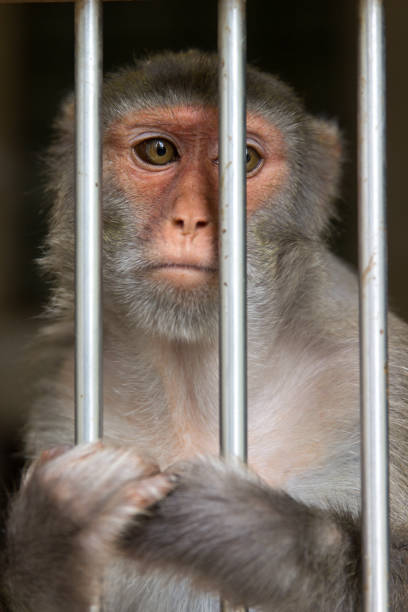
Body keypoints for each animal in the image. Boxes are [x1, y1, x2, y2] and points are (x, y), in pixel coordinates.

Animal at [0, 50, 408, 608]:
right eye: (158, 151)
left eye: (245, 160)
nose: (192, 220)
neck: (196, 380)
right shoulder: (62, 398)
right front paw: (55, 530)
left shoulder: (378, 383)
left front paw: (245, 529)